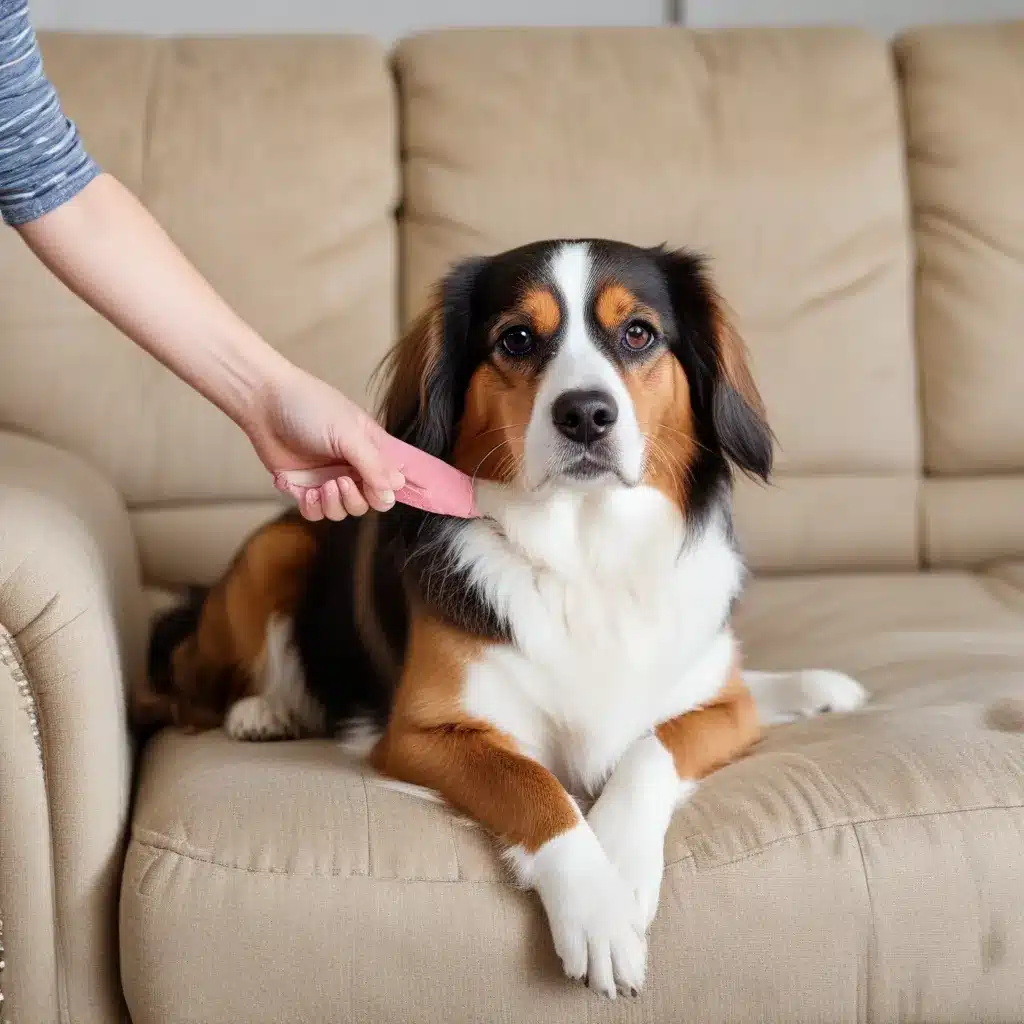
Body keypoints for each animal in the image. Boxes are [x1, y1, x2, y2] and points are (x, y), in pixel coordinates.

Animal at [144, 237, 864, 991]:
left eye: (638, 333)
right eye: (516, 339)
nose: (586, 414)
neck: (584, 556)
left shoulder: (725, 710)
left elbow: (651, 747)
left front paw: (621, 862)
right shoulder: (423, 733)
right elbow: (534, 784)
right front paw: (598, 906)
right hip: (274, 549)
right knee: (186, 684)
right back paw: (264, 710)